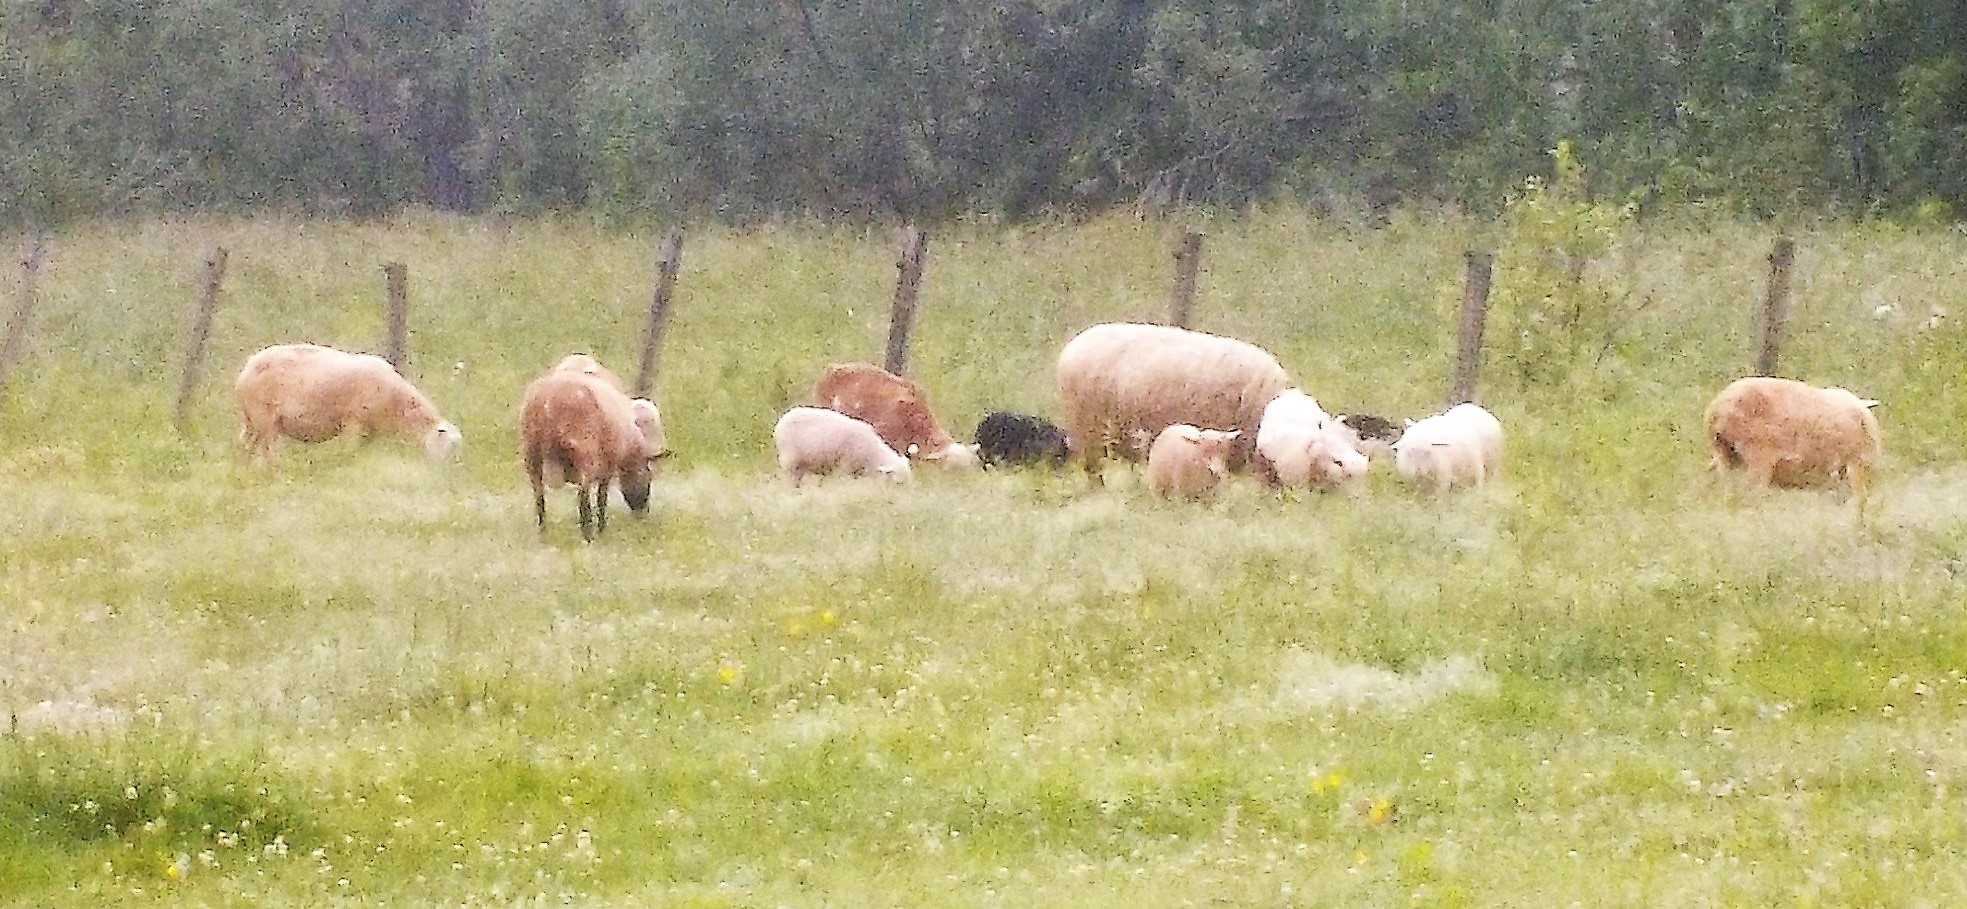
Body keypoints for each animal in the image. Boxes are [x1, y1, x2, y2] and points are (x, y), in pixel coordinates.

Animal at [235, 342, 461, 464]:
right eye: (449, 446)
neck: (397, 403)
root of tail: (247, 367)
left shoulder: (369, 430)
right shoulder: (354, 422)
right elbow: (351, 450)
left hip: (252, 418)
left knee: (247, 444)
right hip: (264, 416)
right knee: (268, 450)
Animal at [519, 359, 664, 541]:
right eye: (649, 478)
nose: (642, 513)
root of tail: (549, 401)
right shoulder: (608, 466)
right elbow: (602, 497)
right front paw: (601, 528)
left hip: (531, 451)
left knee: (539, 495)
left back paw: (543, 531)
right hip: (584, 451)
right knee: (583, 493)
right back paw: (587, 533)